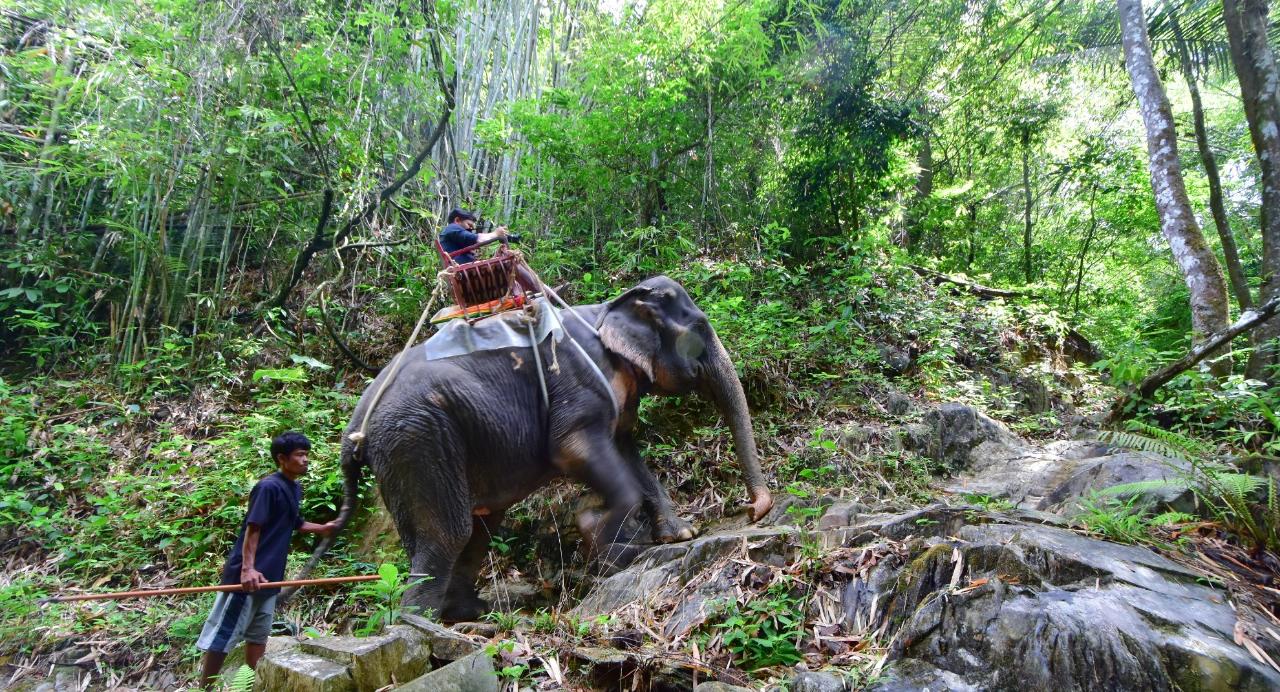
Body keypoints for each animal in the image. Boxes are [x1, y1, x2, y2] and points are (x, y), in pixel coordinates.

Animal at [311, 275, 772, 622]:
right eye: (700, 330)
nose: (753, 510)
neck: (612, 306)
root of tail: (355, 425)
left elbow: (626, 450)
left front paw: (679, 535)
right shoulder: (578, 384)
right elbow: (573, 449)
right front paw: (605, 542)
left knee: (477, 528)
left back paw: (469, 613)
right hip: (417, 437)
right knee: (447, 533)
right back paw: (422, 627)